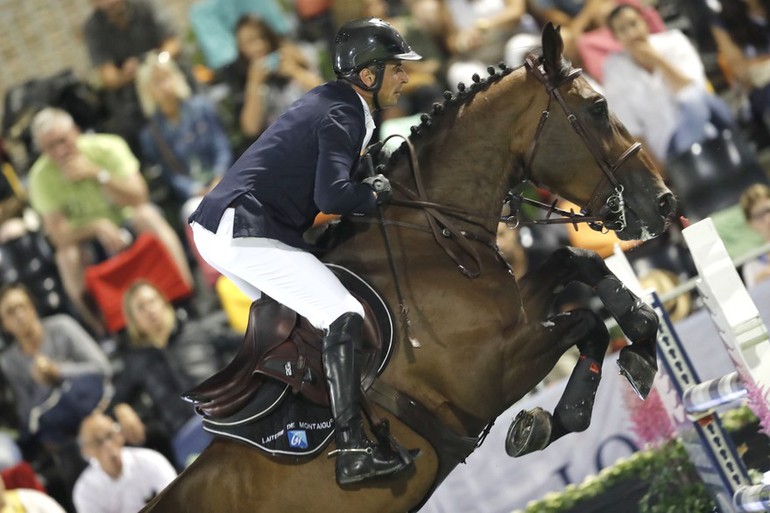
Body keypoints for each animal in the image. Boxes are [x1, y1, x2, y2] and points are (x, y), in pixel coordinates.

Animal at [142, 23, 672, 512]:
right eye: (598, 108)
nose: (663, 204)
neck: (431, 236)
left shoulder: (515, 316)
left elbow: (576, 261)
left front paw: (642, 342)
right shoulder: (491, 371)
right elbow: (585, 323)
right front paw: (544, 423)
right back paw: (362, 461)